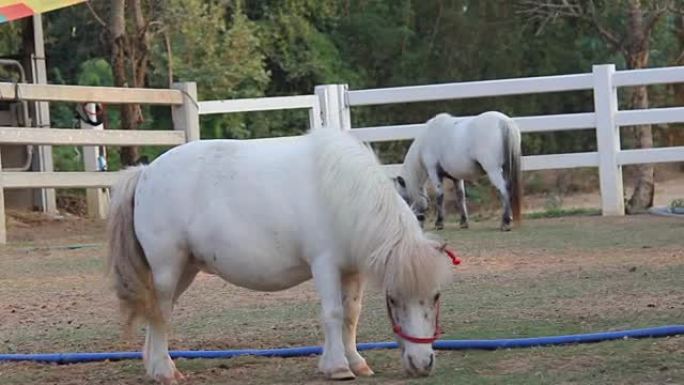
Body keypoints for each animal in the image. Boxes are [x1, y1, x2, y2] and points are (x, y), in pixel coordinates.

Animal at [107, 127, 456, 382]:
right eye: (394, 299)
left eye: (436, 296)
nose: (423, 363)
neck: (342, 193)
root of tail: (145, 172)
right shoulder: (325, 265)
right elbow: (333, 314)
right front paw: (337, 367)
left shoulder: (351, 271)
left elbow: (351, 315)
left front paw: (356, 362)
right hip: (167, 268)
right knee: (160, 314)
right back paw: (166, 372)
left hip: (184, 271)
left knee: (156, 313)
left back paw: (155, 367)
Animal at [392, 111, 520, 231]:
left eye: (404, 199)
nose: (418, 223)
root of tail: (504, 122)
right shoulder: (456, 177)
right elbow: (460, 197)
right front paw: (463, 222)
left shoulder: (434, 172)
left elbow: (440, 196)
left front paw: (439, 223)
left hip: (493, 170)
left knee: (503, 190)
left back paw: (505, 223)